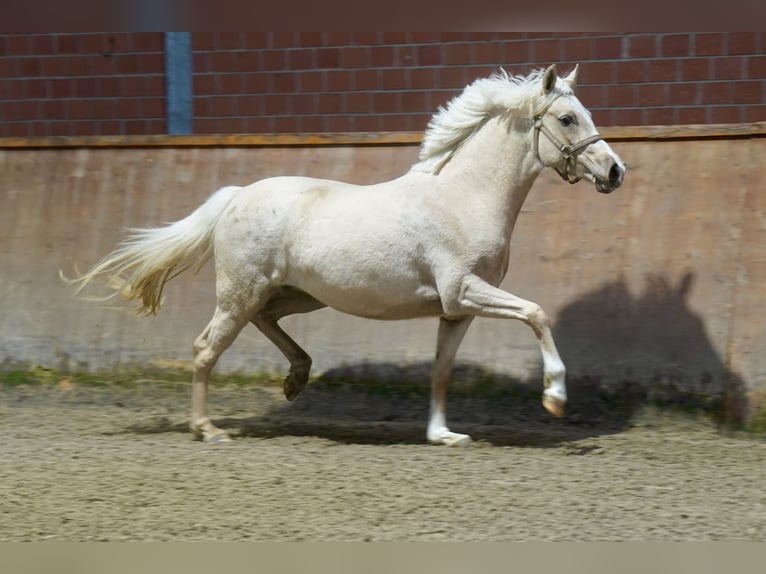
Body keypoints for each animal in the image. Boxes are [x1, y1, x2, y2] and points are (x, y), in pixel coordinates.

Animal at [64, 64, 626, 446]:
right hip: (241, 293)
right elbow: (537, 312)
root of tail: (237, 196)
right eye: (567, 118)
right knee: (206, 348)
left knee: (266, 322)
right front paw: (554, 398)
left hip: (296, 294)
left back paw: (295, 379)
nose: (616, 171)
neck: (464, 198)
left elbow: (441, 371)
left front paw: (443, 435)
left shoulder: (456, 309)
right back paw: (208, 429)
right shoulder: (465, 290)